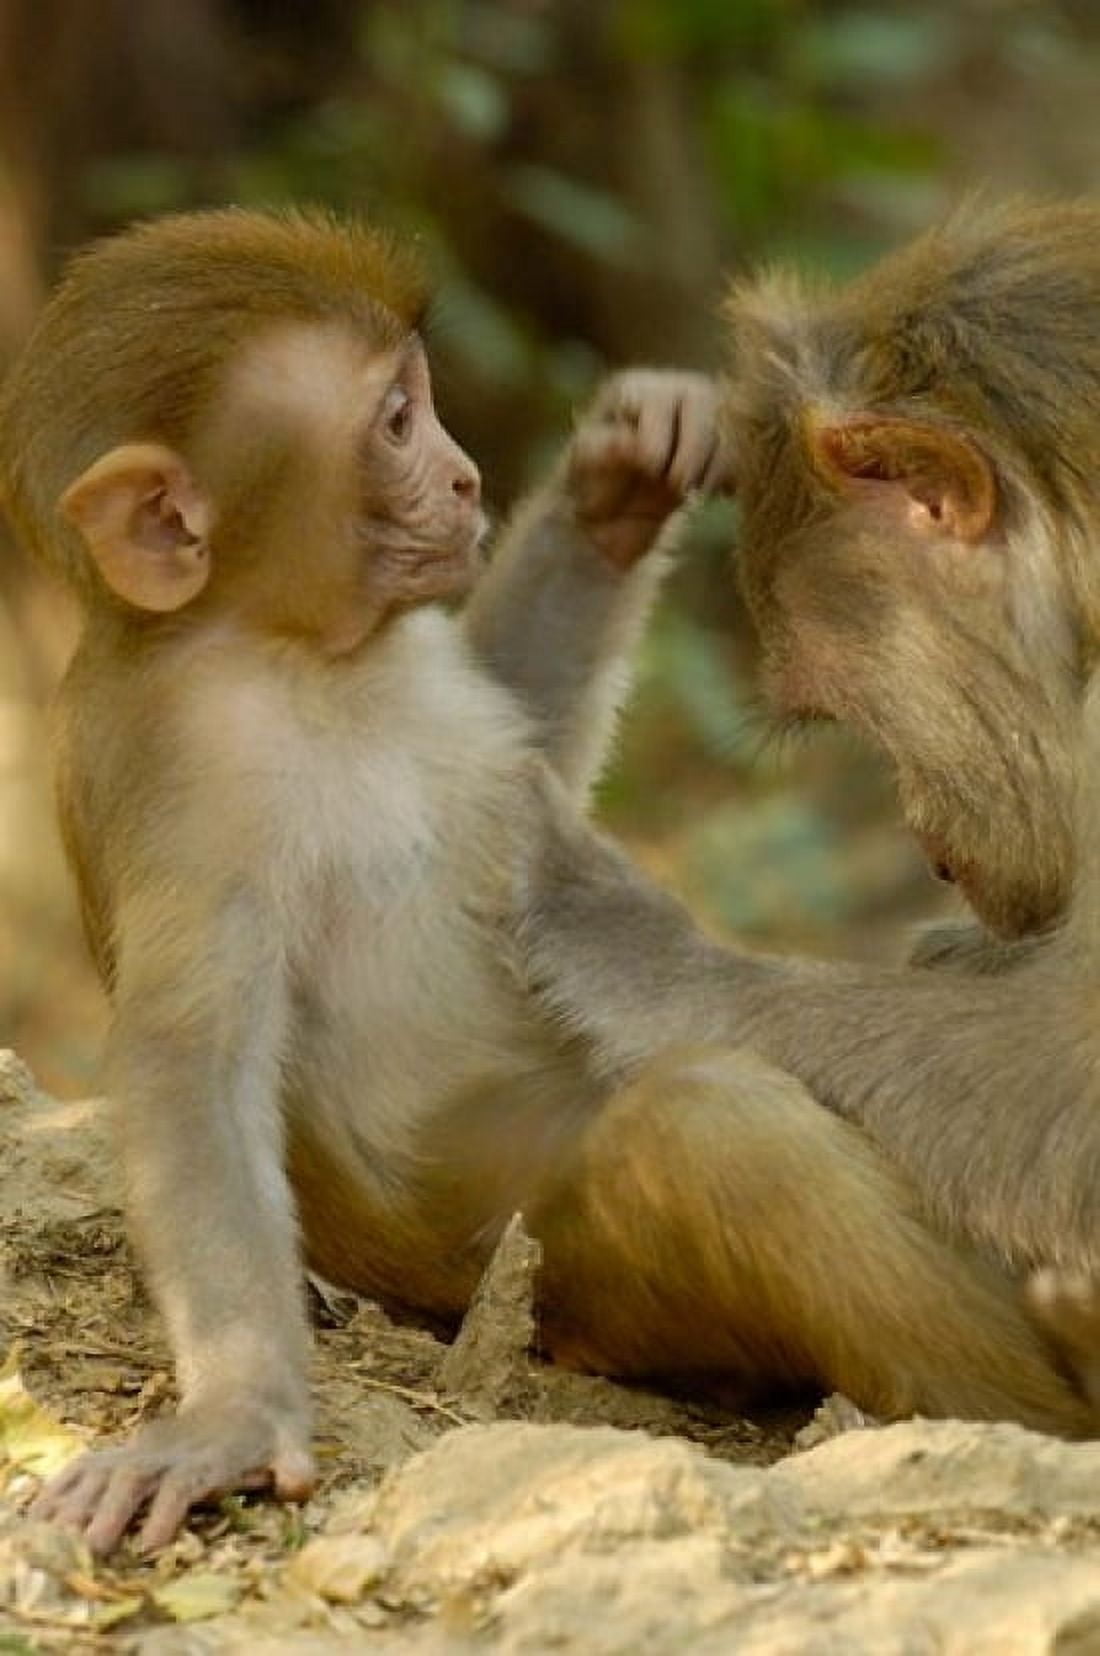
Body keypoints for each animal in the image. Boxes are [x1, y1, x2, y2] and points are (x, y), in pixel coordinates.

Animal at [1, 207, 1091, 1558]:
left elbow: (521, 731)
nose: (466, 477)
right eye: (395, 424)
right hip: (541, 1274)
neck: (288, 649)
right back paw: (1051, 1387)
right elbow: (190, 1064)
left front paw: (617, 479)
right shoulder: (189, 781)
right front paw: (231, 1420)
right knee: (711, 1132)